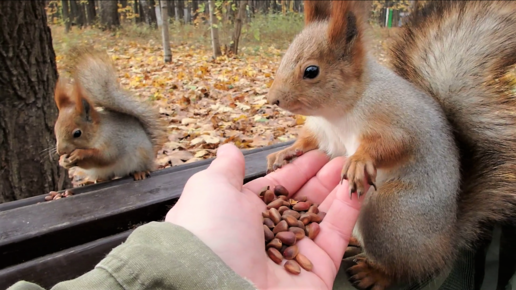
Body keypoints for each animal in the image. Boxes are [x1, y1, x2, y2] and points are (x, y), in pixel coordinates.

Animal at [268, 0, 516, 290]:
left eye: (311, 71)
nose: (273, 99)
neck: (337, 113)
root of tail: (447, 243)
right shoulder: (324, 133)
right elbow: (309, 142)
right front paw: (283, 153)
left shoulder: (394, 120)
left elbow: (392, 145)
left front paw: (359, 161)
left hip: (390, 214)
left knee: (405, 270)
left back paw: (374, 274)